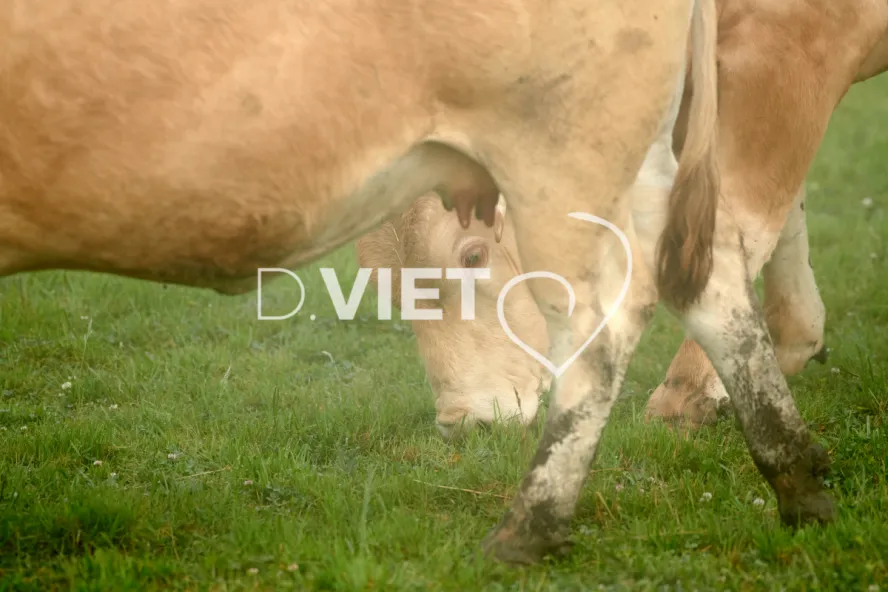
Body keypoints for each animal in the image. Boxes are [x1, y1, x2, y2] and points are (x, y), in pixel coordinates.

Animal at [0, 0, 835, 564]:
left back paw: (528, 530)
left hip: (565, 159)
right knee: (711, 281)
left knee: (604, 325)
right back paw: (799, 482)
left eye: (469, 259)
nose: (465, 425)